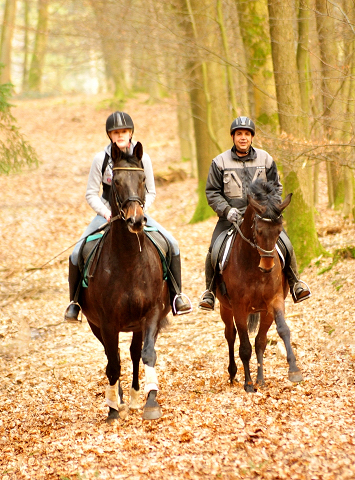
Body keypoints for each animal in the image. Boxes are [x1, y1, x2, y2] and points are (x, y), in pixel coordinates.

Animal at [81, 141, 170, 422]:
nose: (136, 220)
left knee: (132, 353)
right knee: (114, 357)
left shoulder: (151, 313)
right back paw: (118, 398)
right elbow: (113, 363)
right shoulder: (107, 322)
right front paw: (111, 409)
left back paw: (133, 397)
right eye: (116, 182)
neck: (130, 262)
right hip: (96, 325)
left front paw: (151, 402)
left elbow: (147, 354)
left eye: (143, 180)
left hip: (136, 325)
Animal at [218, 178, 304, 392]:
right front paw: (248, 384)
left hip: (264, 311)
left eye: (279, 231)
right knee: (230, 335)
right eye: (258, 231)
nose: (267, 267)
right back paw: (233, 374)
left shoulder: (274, 301)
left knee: (259, 341)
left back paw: (260, 378)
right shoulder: (239, 307)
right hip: (225, 308)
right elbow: (244, 346)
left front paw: (293, 371)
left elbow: (281, 331)